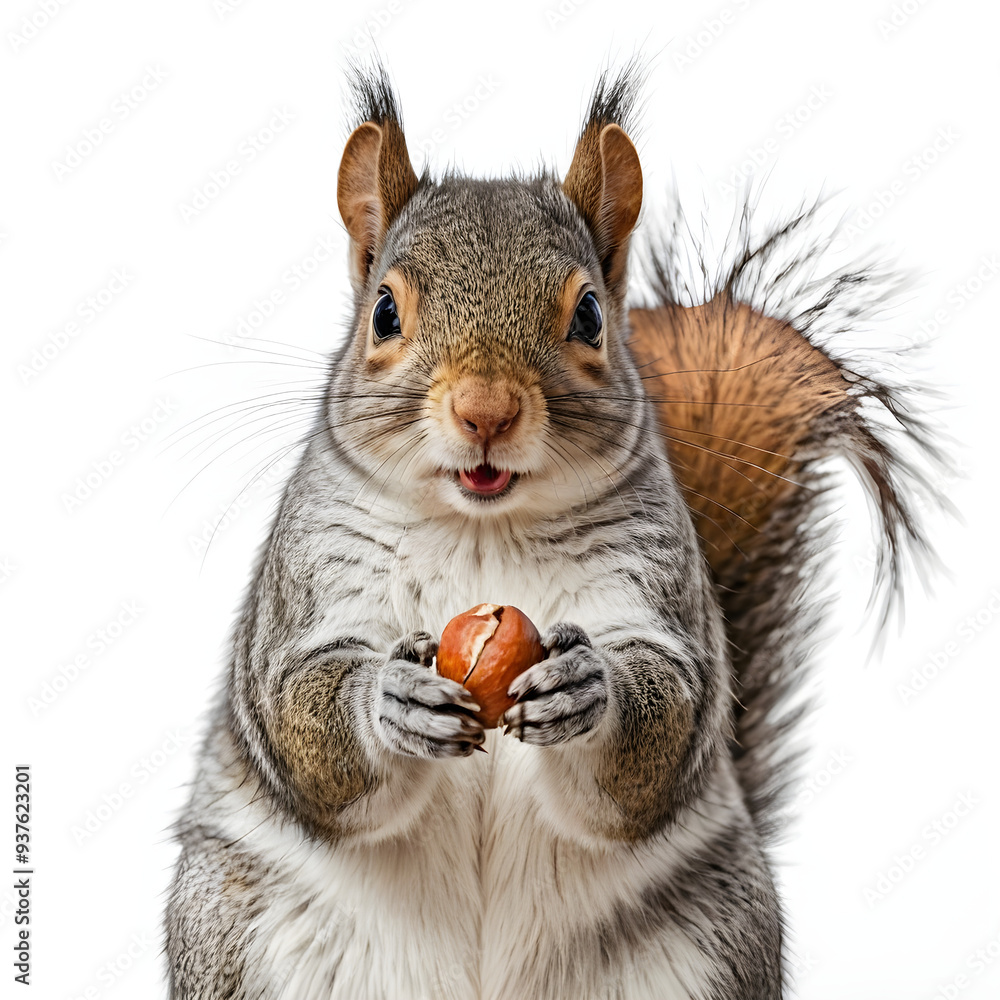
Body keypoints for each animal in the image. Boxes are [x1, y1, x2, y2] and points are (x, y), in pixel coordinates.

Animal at [164, 61, 939, 999]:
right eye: (384, 312)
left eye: (591, 316)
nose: (485, 411)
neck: (482, 531)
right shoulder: (306, 587)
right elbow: (300, 715)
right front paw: (393, 699)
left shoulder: (658, 586)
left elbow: (663, 721)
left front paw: (587, 688)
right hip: (234, 931)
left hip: (714, 936)